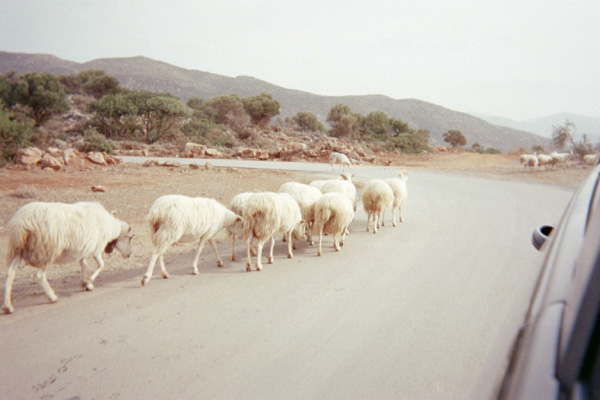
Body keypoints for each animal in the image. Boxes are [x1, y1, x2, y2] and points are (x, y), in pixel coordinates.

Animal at [2, 202, 134, 314]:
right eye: (130, 237)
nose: (129, 255)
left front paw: (86, 283)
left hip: (18, 250)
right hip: (46, 250)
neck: (111, 227)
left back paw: (7, 306)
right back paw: (52, 297)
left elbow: (84, 265)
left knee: (10, 273)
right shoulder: (96, 248)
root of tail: (21, 223)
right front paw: (88, 282)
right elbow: (101, 265)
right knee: (40, 275)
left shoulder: (83, 249)